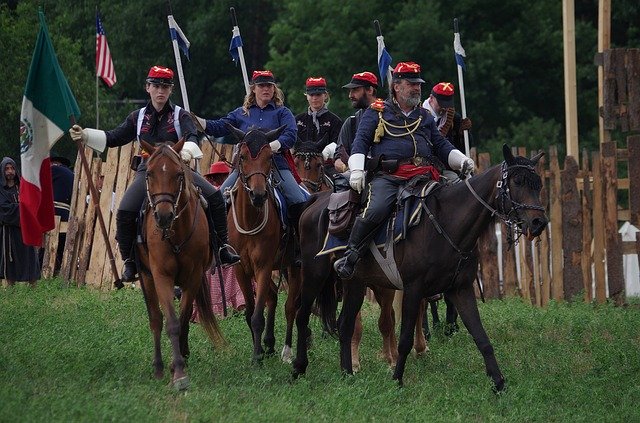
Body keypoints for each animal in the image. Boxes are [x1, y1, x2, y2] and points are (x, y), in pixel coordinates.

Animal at [136, 141, 224, 392]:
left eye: (178, 174)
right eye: (149, 173)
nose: (163, 216)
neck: (175, 232)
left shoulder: (193, 277)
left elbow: (184, 320)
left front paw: (181, 361)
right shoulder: (161, 277)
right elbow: (172, 323)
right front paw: (178, 372)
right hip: (146, 276)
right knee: (155, 320)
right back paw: (158, 367)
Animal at [225, 123, 302, 364]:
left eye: (270, 157)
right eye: (242, 156)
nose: (258, 195)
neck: (250, 219)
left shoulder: (264, 266)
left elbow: (258, 314)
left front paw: (256, 358)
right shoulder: (241, 268)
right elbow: (250, 312)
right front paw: (258, 349)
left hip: (294, 267)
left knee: (291, 307)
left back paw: (287, 350)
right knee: (273, 297)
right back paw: (269, 344)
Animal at [292, 145, 548, 390]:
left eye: (538, 184)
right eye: (517, 181)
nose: (539, 222)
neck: (446, 223)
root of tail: (317, 201)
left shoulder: (461, 289)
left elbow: (481, 337)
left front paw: (499, 384)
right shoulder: (413, 289)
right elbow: (404, 339)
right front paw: (397, 380)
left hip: (354, 282)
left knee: (345, 325)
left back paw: (347, 373)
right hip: (315, 275)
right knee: (302, 315)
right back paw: (298, 368)